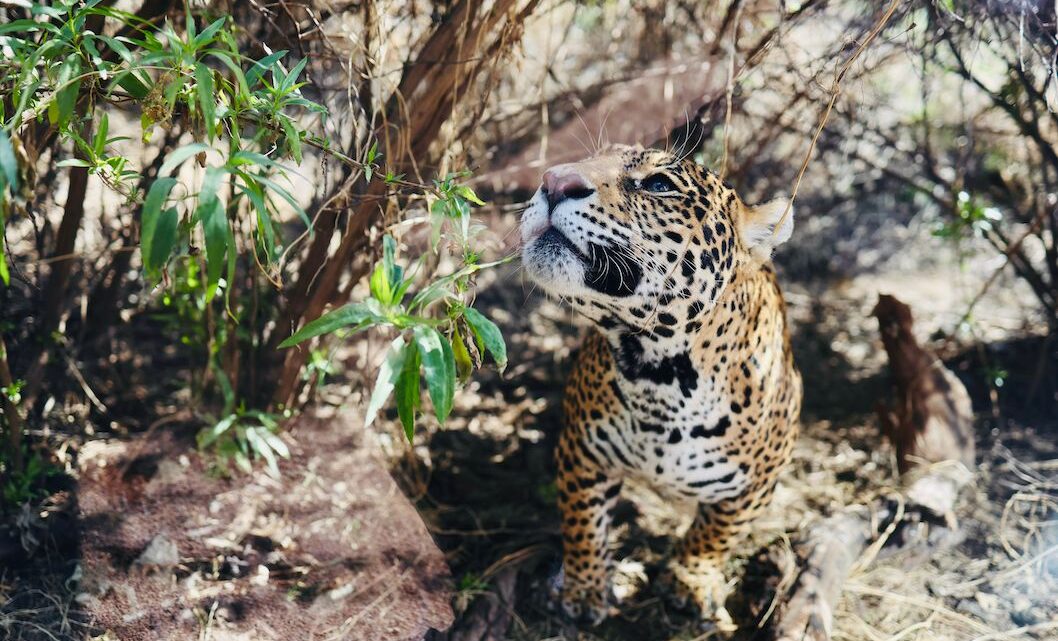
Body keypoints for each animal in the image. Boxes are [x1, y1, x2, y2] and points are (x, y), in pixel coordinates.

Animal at [519, 144, 802, 625]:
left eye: (658, 185)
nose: (553, 181)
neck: (661, 378)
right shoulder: (582, 450)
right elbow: (583, 522)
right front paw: (583, 587)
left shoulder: (756, 485)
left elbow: (716, 533)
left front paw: (690, 581)